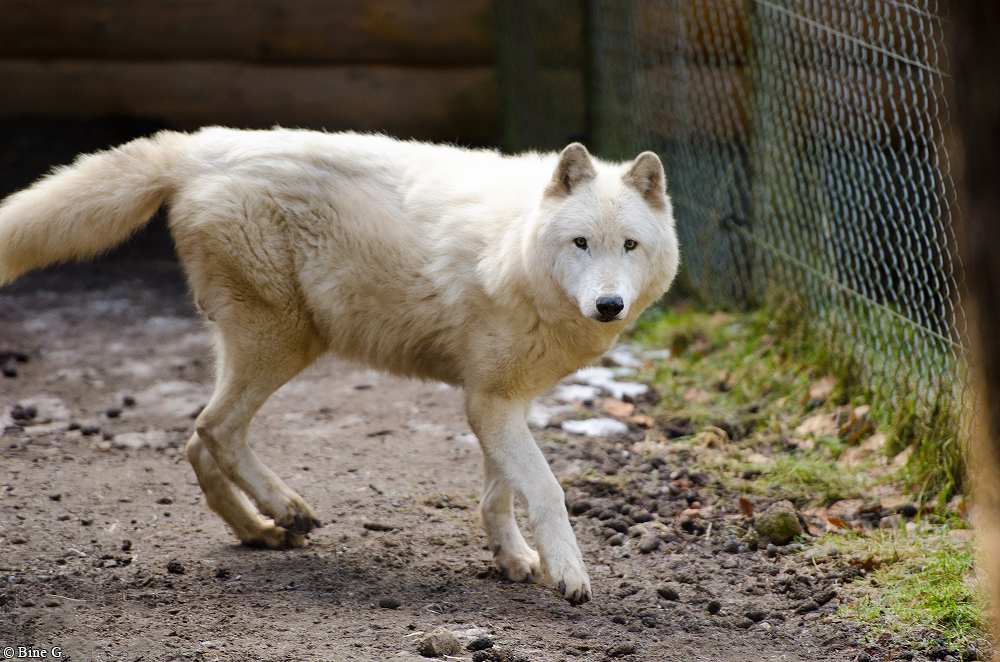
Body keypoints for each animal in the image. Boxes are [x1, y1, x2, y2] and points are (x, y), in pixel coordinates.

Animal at [0, 128, 679, 604]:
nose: (609, 305)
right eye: (580, 243)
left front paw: (511, 559)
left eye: (630, 245)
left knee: (198, 438)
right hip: (284, 344)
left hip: (255, 349)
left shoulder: (500, 401)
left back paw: (261, 531)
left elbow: (499, 492)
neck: (518, 247)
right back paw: (287, 509)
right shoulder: (487, 402)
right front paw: (569, 575)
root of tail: (200, 145)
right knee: (215, 429)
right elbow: (545, 489)